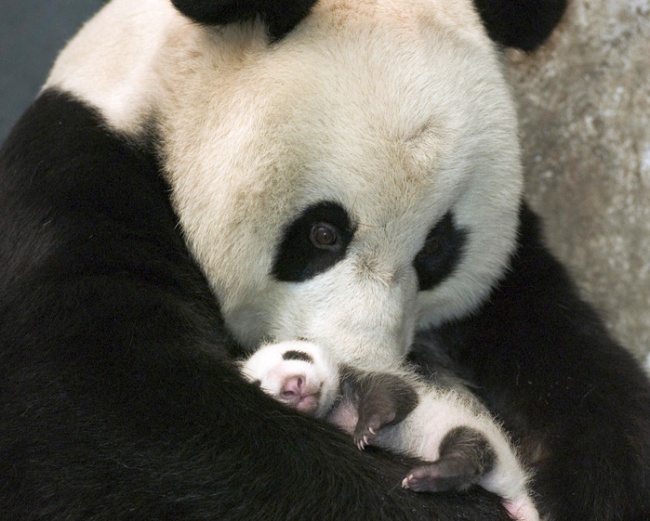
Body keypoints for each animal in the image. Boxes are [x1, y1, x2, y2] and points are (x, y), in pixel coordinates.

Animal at [1, 0, 649, 520]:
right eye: (323, 234)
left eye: (436, 249)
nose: (361, 363)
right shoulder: (77, 189)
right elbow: (116, 424)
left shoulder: (515, 281)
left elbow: (581, 379)